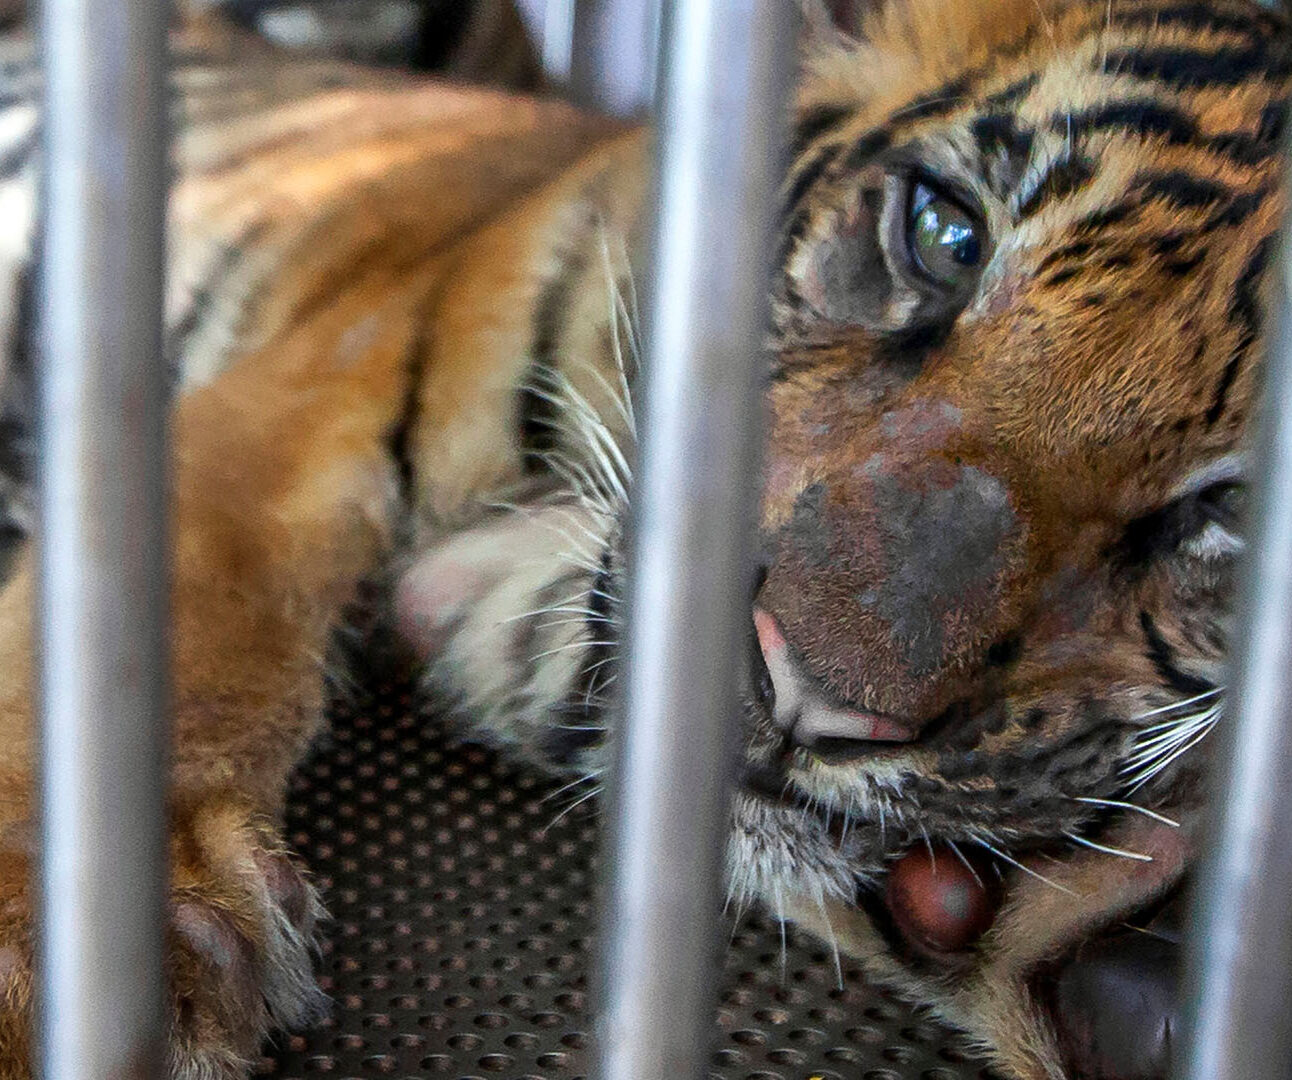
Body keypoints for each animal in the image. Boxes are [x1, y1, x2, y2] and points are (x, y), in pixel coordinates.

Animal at [0, 1, 1284, 1078]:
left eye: (1230, 510)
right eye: (941, 234)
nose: (804, 700)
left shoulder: (499, 610)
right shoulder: (311, 402)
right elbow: (170, 622)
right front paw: (71, 961)